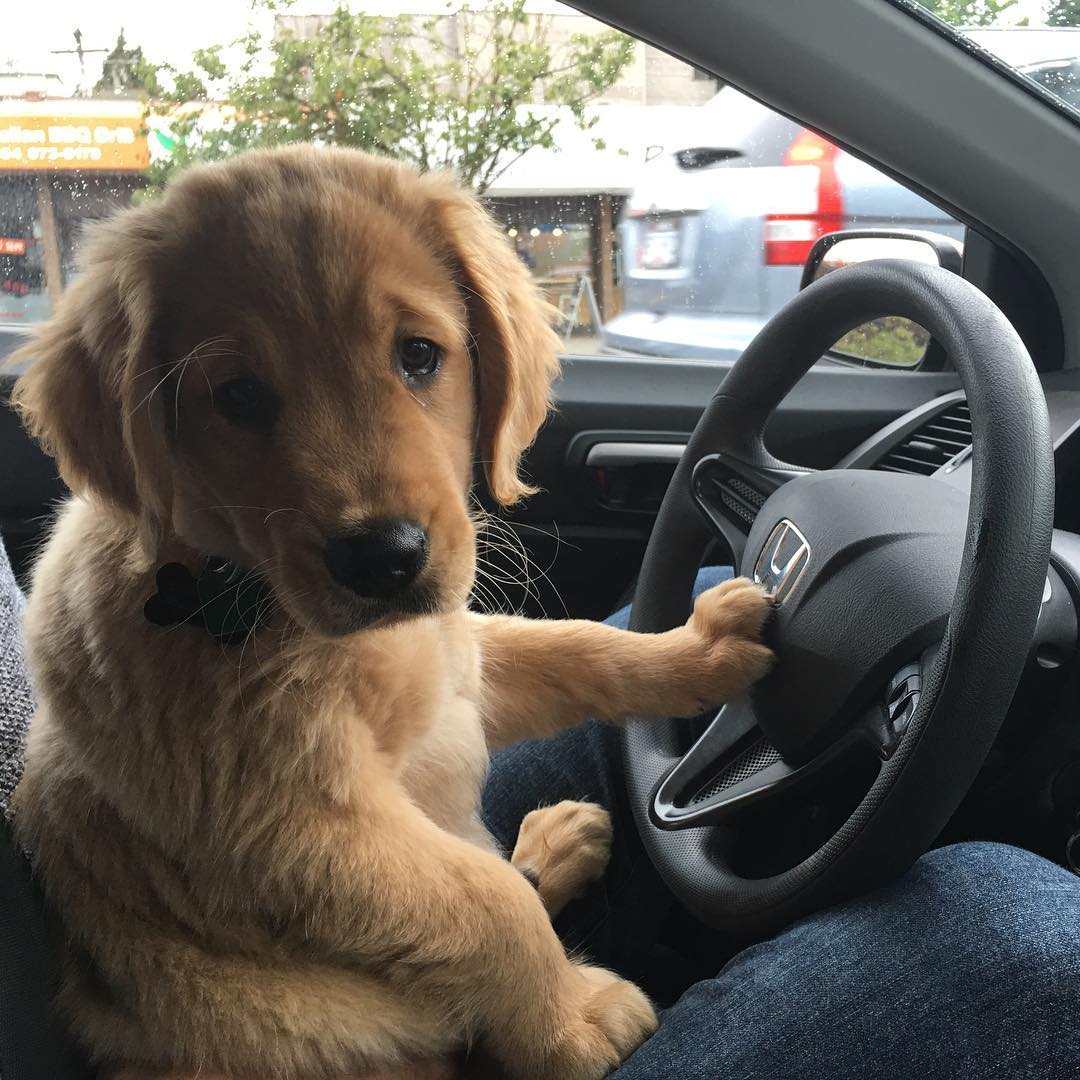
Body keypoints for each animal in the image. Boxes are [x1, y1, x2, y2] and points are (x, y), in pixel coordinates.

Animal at [6, 145, 768, 1080]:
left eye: (418, 356)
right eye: (237, 396)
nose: (384, 559)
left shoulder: (460, 671)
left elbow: (582, 650)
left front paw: (697, 650)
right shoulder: (298, 829)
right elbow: (485, 905)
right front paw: (571, 1020)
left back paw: (555, 844)